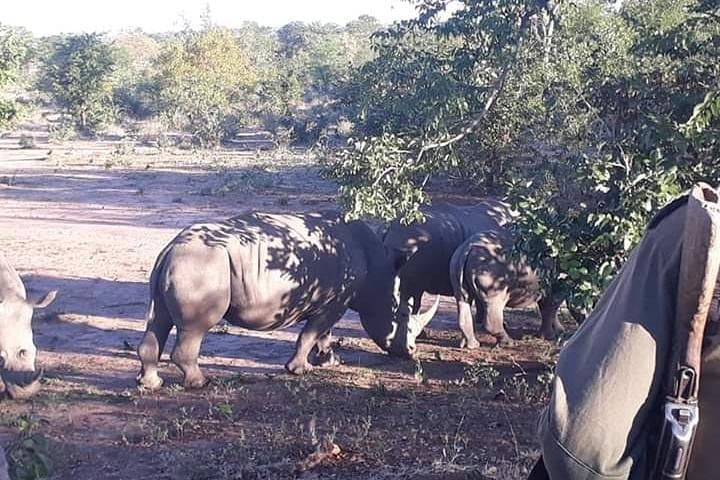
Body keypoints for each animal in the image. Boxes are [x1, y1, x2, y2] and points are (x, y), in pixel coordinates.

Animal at [136, 211, 438, 390]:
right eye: (400, 316)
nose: (410, 351)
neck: (379, 271)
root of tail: (170, 250)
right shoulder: (335, 301)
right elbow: (311, 333)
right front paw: (300, 370)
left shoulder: (331, 300)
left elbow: (323, 334)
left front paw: (330, 362)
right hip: (203, 266)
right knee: (195, 327)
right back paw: (200, 383)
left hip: (178, 265)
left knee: (158, 319)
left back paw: (151, 384)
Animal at [382, 201, 562, 351]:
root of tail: (388, 230)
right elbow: (551, 306)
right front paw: (552, 335)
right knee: (412, 291)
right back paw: (507, 342)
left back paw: (471, 344)